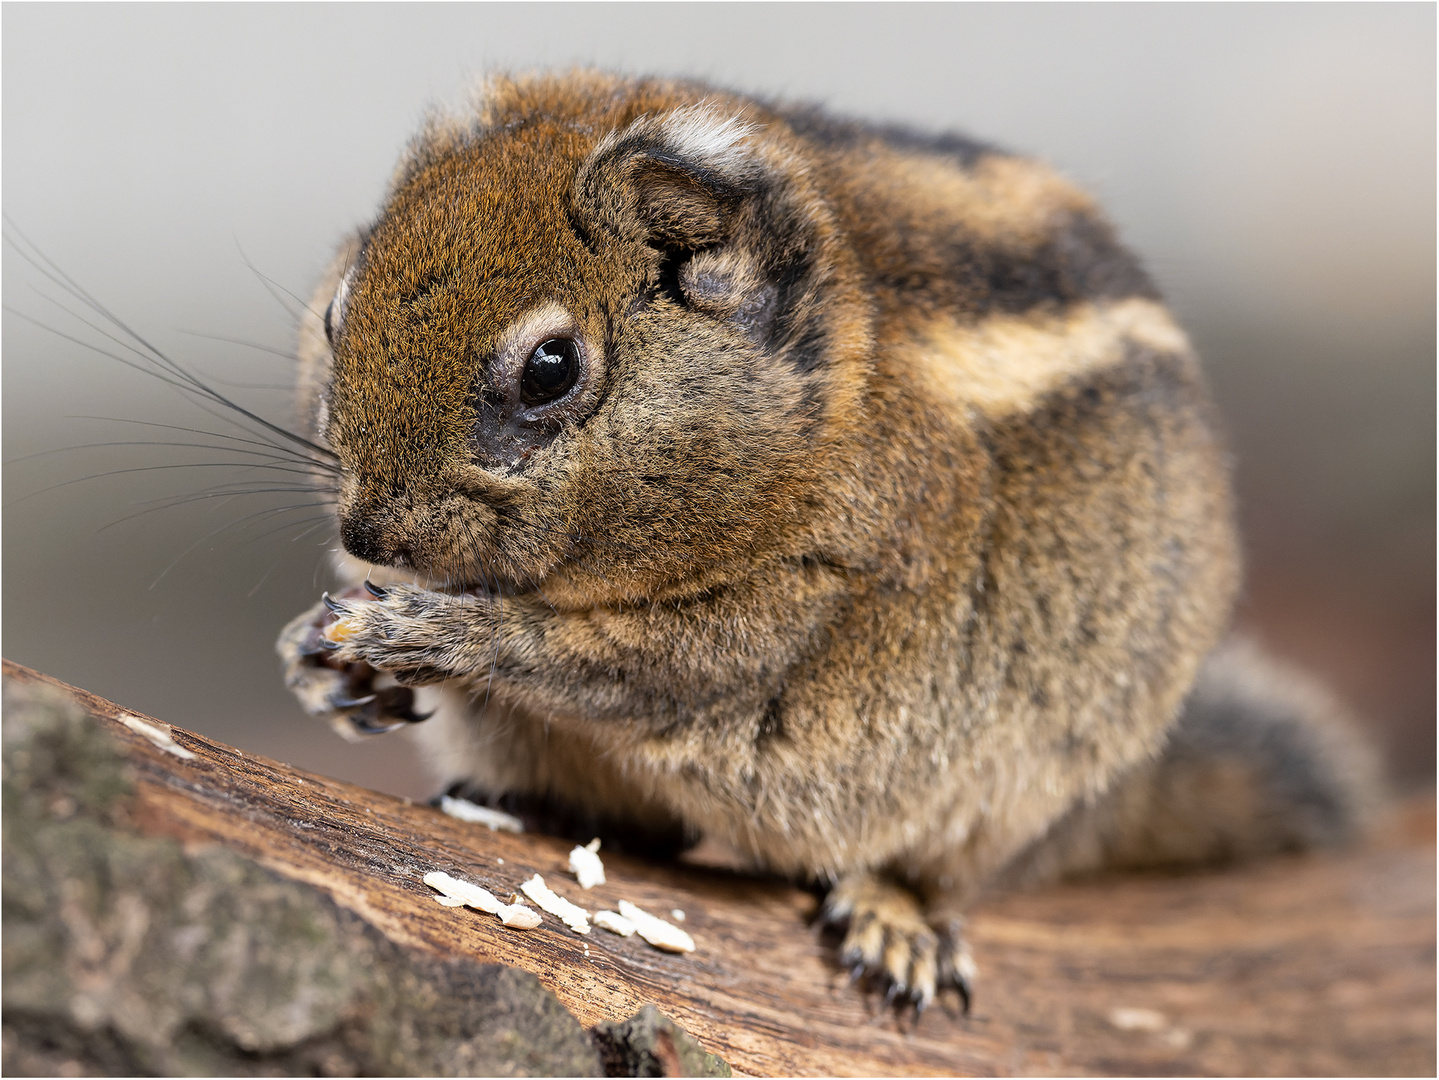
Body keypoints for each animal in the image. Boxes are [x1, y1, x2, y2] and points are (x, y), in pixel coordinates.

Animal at [271, 71, 1381, 1018]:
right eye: (334, 313)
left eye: (549, 368)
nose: (364, 532)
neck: (823, 402)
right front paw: (325, 663)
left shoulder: (791, 603)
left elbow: (620, 661)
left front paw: (431, 635)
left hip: (1028, 776)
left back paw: (896, 914)